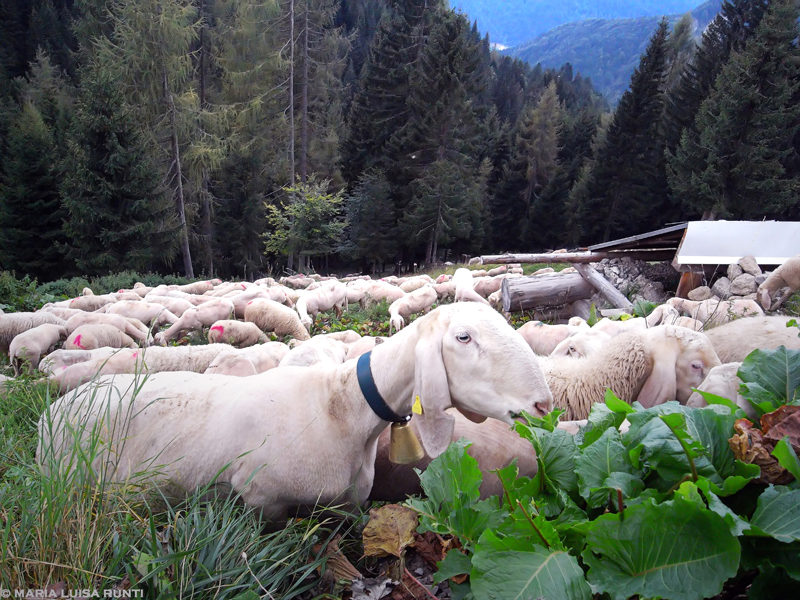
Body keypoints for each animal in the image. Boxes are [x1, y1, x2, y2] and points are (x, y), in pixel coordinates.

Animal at [40, 302, 552, 524]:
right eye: (463, 337)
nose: (543, 404)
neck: (342, 409)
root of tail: (53, 412)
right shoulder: (262, 498)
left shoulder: (347, 505)